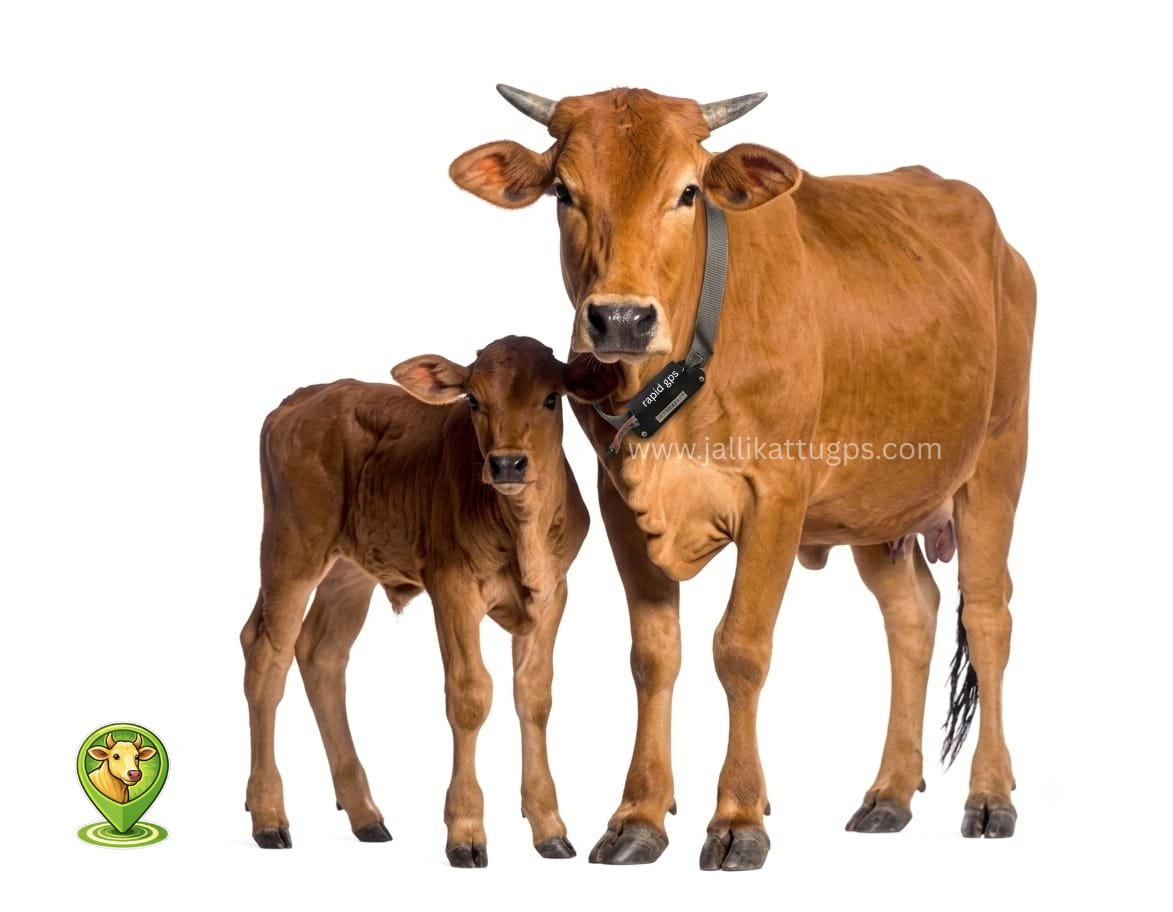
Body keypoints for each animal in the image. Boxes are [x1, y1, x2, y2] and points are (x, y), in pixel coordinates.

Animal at [240, 336, 617, 865]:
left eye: (550, 398)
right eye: (473, 400)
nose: (507, 463)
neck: (521, 532)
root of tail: (302, 398)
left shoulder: (553, 593)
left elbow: (534, 697)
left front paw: (548, 827)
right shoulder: (452, 587)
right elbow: (470, 695)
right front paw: (465, 830)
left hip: (348, 570)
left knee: (320, 654)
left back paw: (365, 814)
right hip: (291, 550)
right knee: (267, 657)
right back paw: (269, 816)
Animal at [450, 85, 1035, 870]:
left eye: (688, 193)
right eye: (564, 193)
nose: (621, 320)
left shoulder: (776, 498)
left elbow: (740, 650)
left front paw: (737, 818)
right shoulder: (617, 501)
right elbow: (653, 655)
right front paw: (639, 816)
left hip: (996, 460)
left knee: (988, 615)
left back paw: (991, 797)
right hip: (876, 510)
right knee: (912, 614)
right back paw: (887, 794)